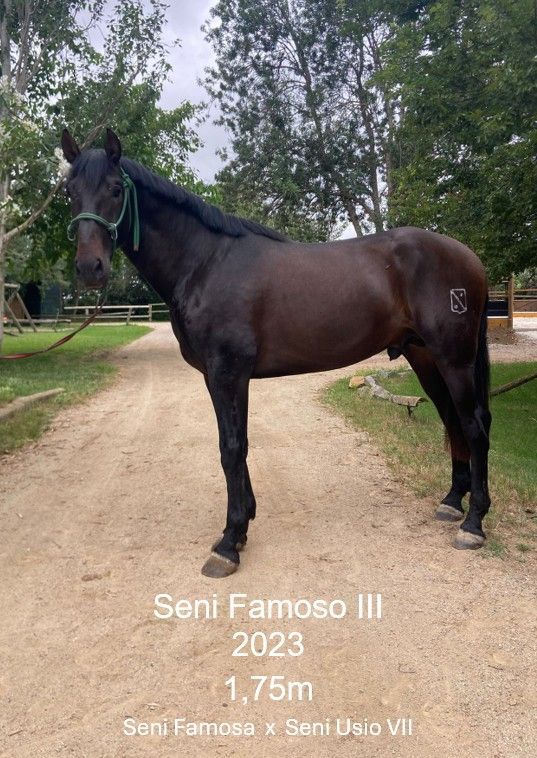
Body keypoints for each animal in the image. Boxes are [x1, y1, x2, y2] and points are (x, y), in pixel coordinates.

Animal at [61, 128, 492, 577]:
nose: (90, 268)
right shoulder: (218, 377)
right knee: (452, 421)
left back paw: (473, 524)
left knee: (474, 425)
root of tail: (470, 258)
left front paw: (229, 542)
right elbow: (235, 444)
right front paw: (243, 525)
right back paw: (451, 502)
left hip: (454, 359)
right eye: (69, 191)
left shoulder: (229, 372)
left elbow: (232, 448)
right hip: (425, 357)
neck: (205, 263)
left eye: (114, 189)